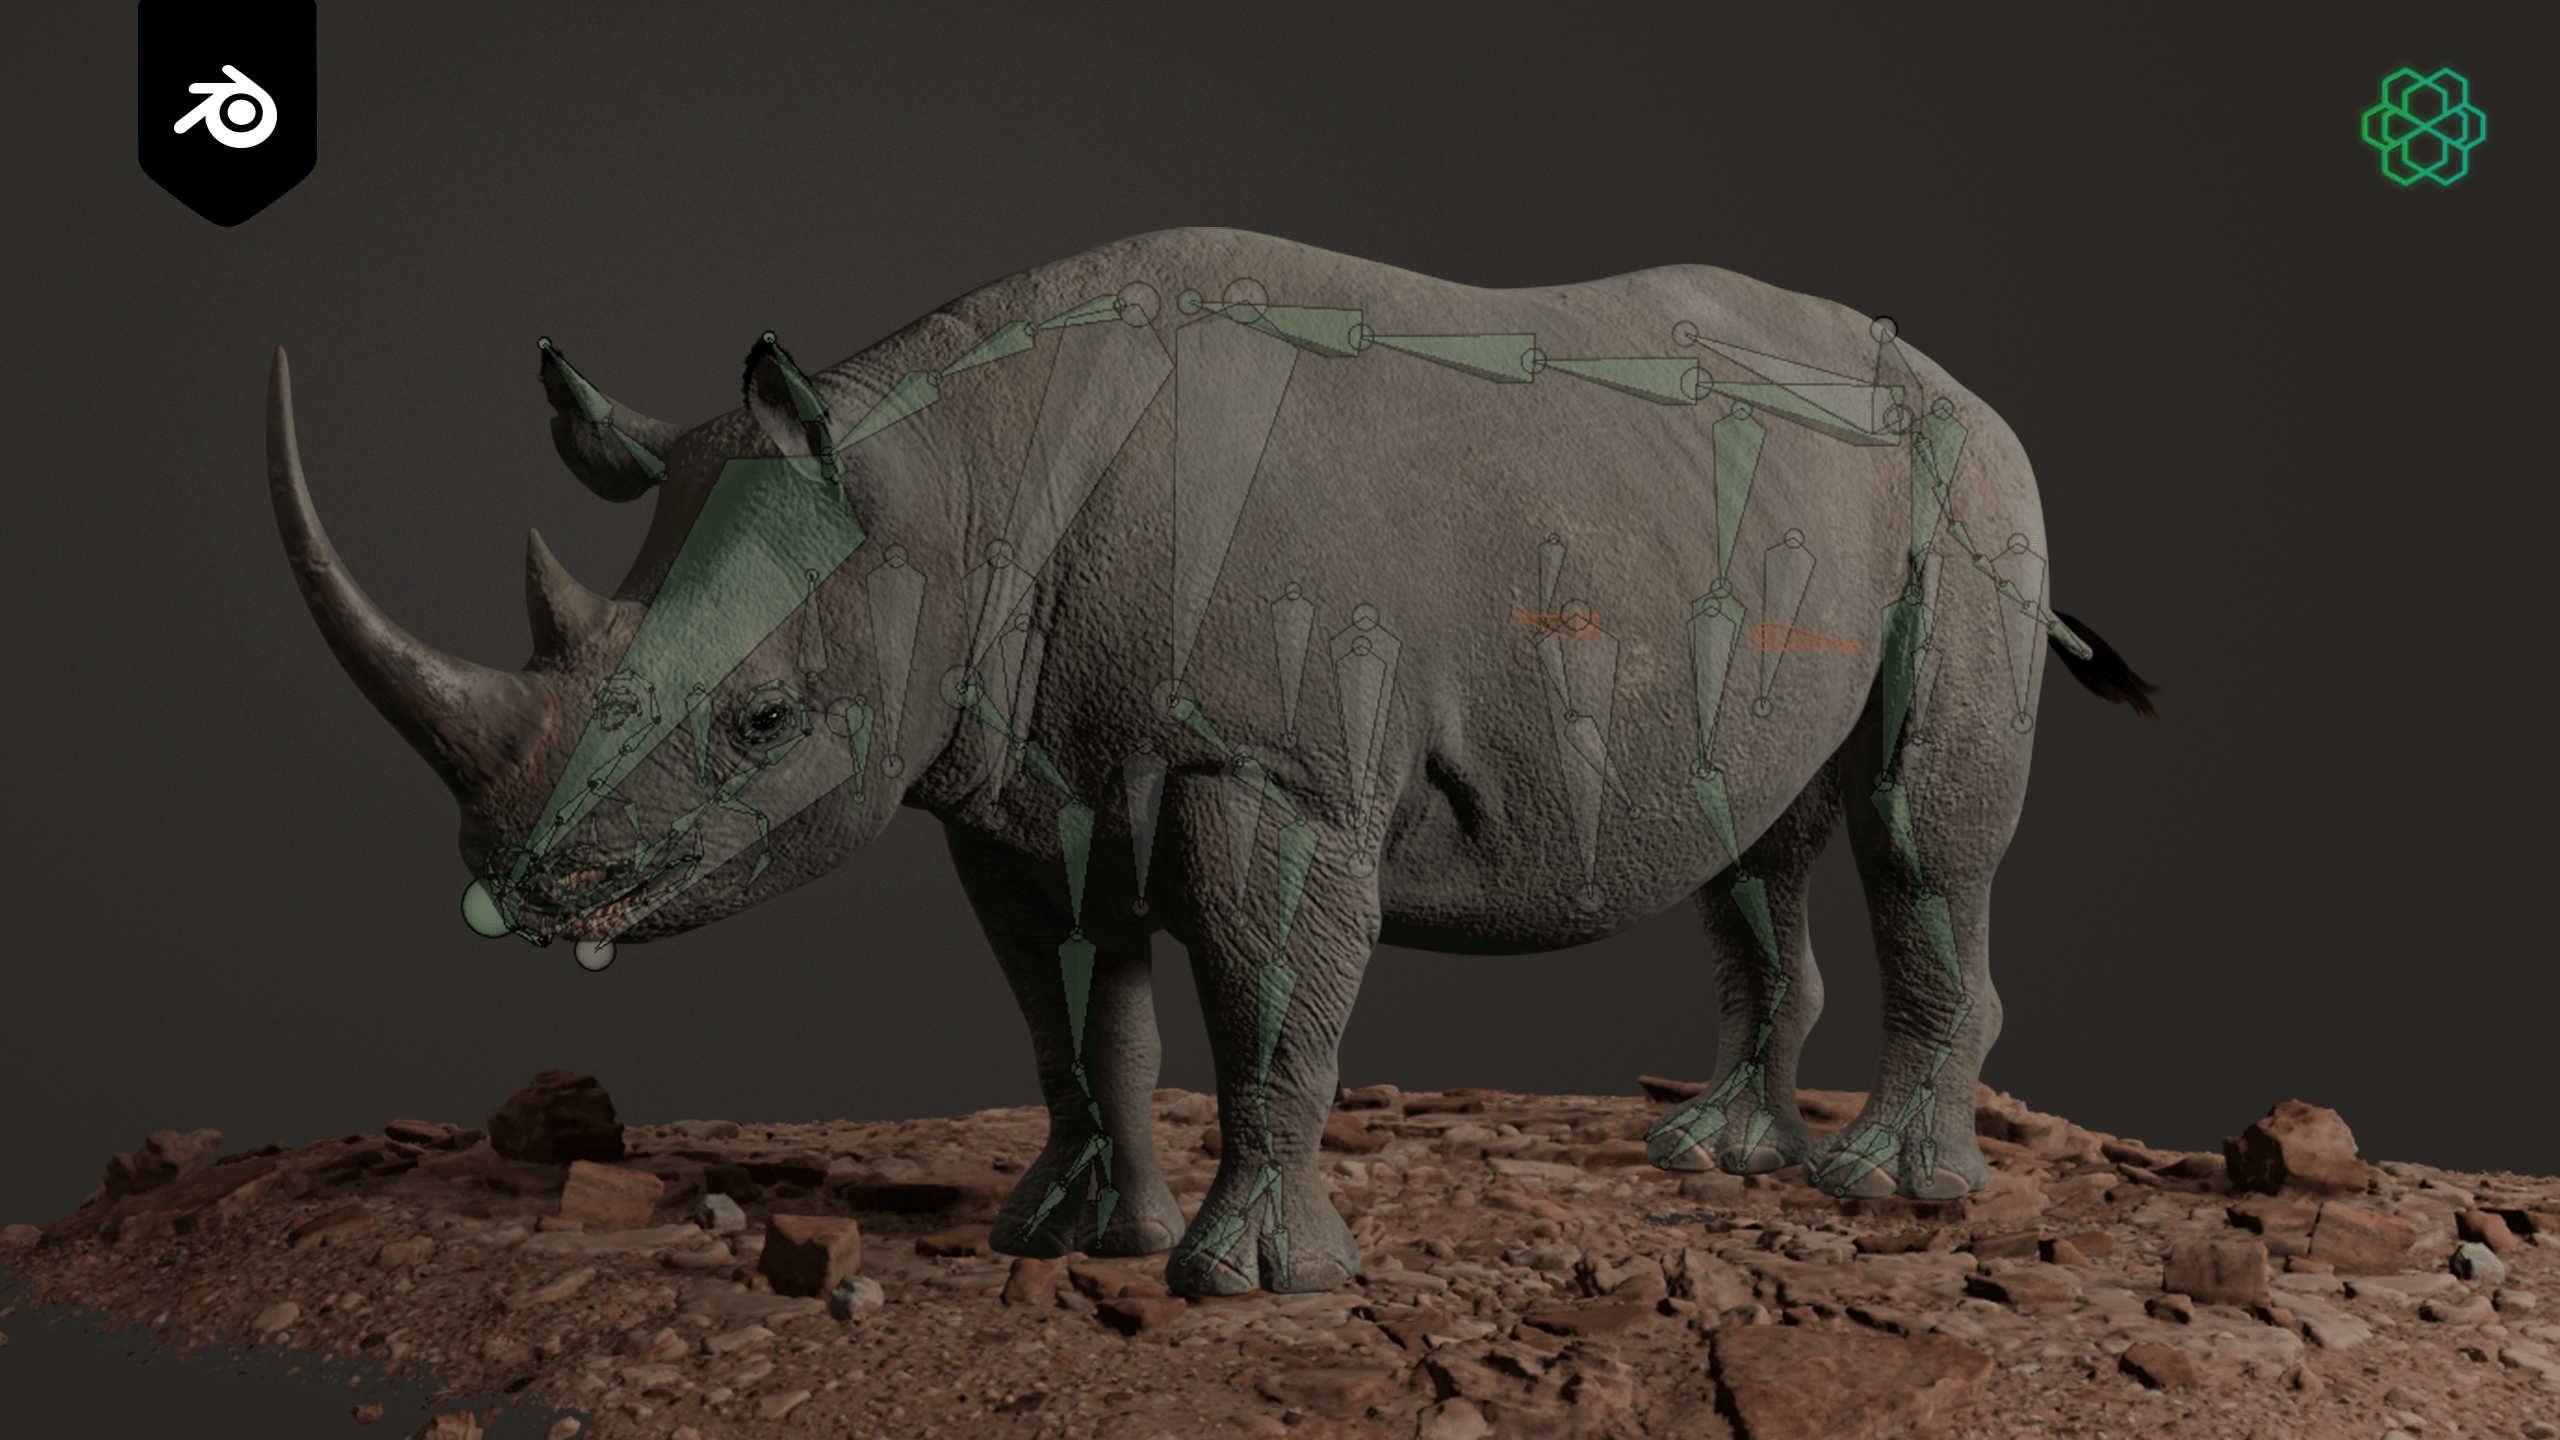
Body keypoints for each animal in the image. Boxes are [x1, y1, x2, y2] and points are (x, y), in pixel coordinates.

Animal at [268, 228, 2156, 1297]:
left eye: (762, 721)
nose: (520, 893)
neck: (950, 469)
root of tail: (1964, 382)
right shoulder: (1015, 781)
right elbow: (1072, 1015)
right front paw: (1060, 1233)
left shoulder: (1279, 772)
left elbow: (1270, 1001)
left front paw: (1249, 1284)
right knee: (1755, 837)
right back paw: (1716, 1156)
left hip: (1969, 481)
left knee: (1921, 833)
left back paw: (1886, 1188)